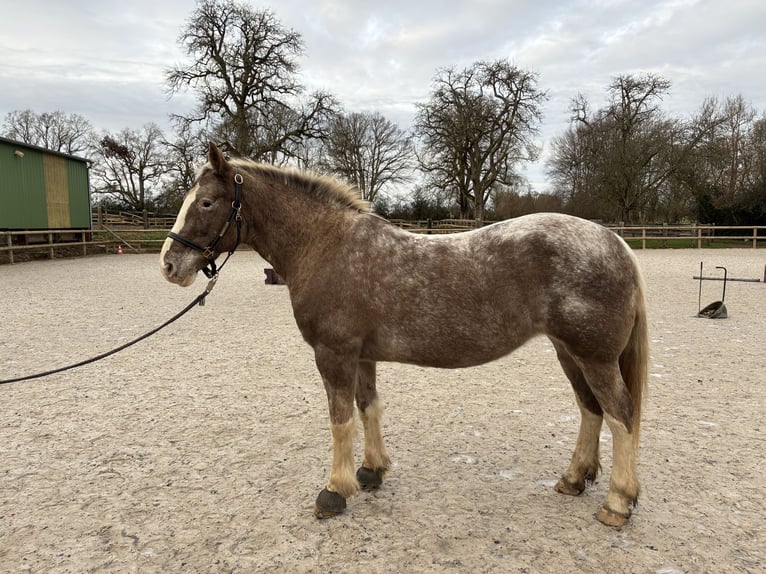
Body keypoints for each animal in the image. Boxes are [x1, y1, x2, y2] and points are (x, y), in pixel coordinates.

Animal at [160, 143, 649, 527]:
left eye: (207, 203)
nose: (169, 264)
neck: (327, 246)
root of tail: (616, 244)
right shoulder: (361, 355)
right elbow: (368, 407)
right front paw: (371, 472)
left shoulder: (333, 354)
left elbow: (340, 420)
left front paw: (334, 491)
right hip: (570, 352)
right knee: (590, 409)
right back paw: (574, 479)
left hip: (594, 357)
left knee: (621, 414)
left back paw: (617, 503)